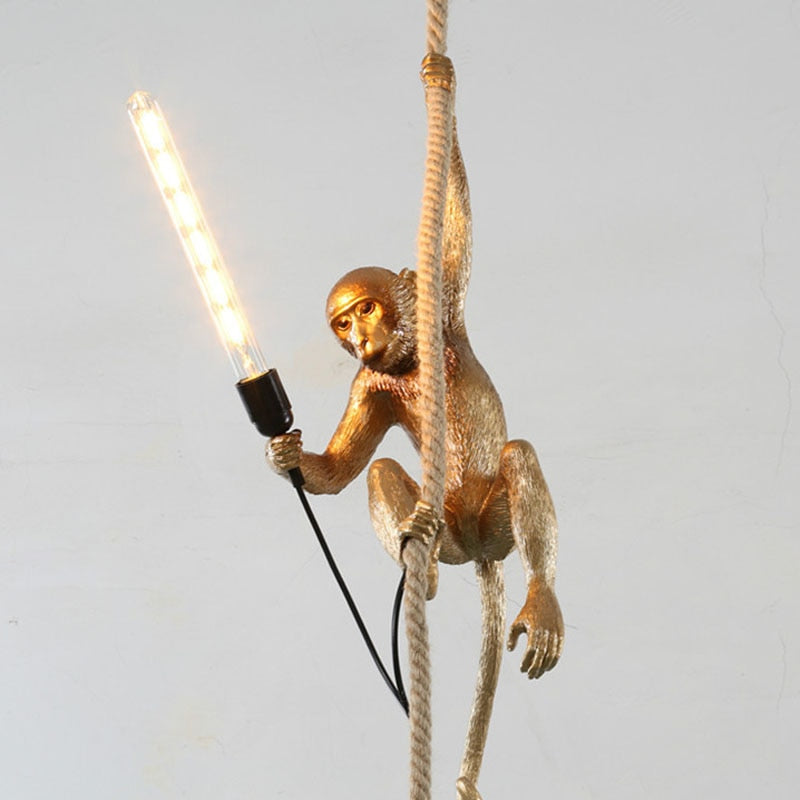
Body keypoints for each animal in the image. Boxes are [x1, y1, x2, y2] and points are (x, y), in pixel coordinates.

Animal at [266, 123, 563, 800]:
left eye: (367, 309)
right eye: (342, 324)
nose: (359, 337)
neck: (405, 362)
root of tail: (480, 553)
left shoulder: (442, 303)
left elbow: (455, 223)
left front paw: (439, 96)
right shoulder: (366, 384)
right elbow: (345, 469)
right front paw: (287, 454)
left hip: (496, 525)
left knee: (518, 455)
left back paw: (539, 602)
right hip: (457, 534)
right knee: (381, 475)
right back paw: (418, 563)